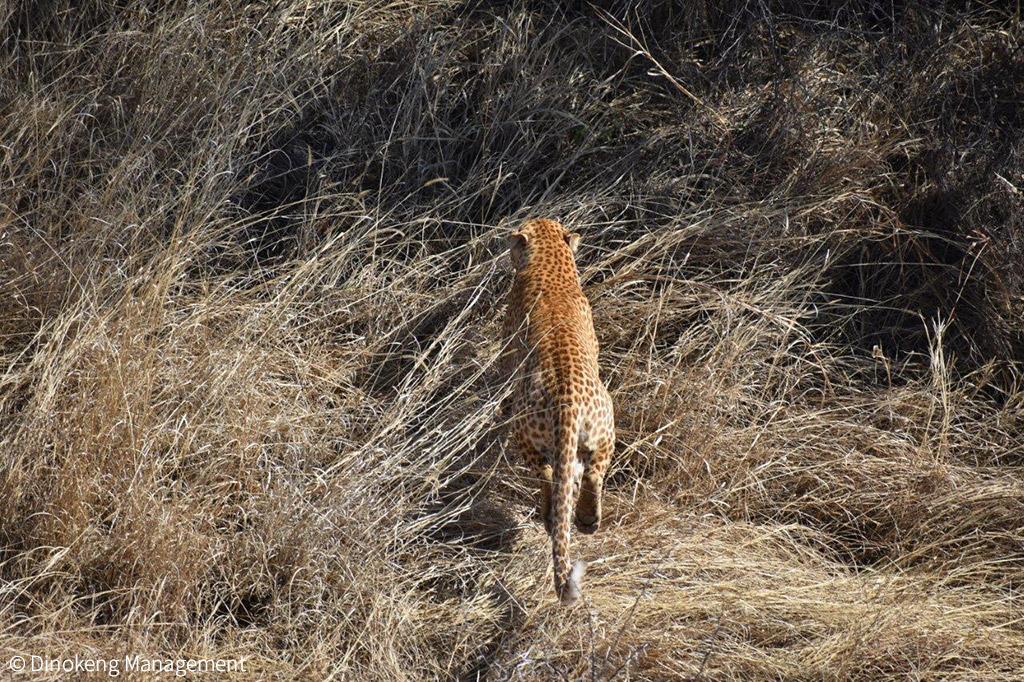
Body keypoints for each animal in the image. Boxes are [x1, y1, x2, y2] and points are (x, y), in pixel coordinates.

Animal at [497, 215, 610, 602]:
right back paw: (588, 520)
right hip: (603, 429)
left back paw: (550, 516)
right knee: (591, 475)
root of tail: (566, 401)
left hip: (524, 430)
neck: (550, 264)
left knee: (546, 474)